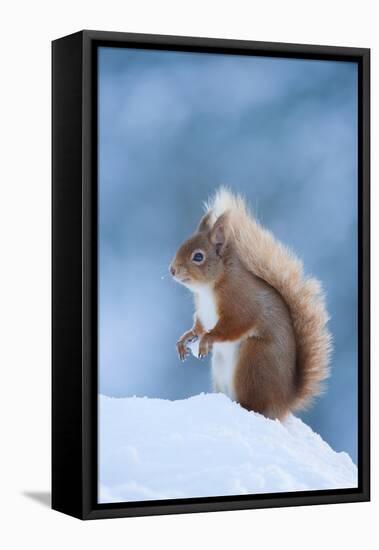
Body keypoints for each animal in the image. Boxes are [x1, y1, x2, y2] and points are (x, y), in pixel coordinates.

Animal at [170, 188, 332, 420]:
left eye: (198, 257)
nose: (172, 270)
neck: (208, 288)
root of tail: (282, 402)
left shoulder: (239, 301)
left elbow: (235, 324)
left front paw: (207, 339)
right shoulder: (202, 311)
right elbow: (198, 326)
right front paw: (186, 339)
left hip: (253, 362)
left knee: (254, 404)